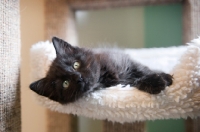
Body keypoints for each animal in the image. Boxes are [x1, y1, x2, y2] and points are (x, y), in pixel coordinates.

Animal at [29, 36, 172, 104]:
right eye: (65, 83)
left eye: (76, 65)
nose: (79, 77)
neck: (104, 75)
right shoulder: (120, 84)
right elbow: (134, 81)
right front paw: (156, 83)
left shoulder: (126, 62)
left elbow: (143, 70)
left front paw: (164, 77)